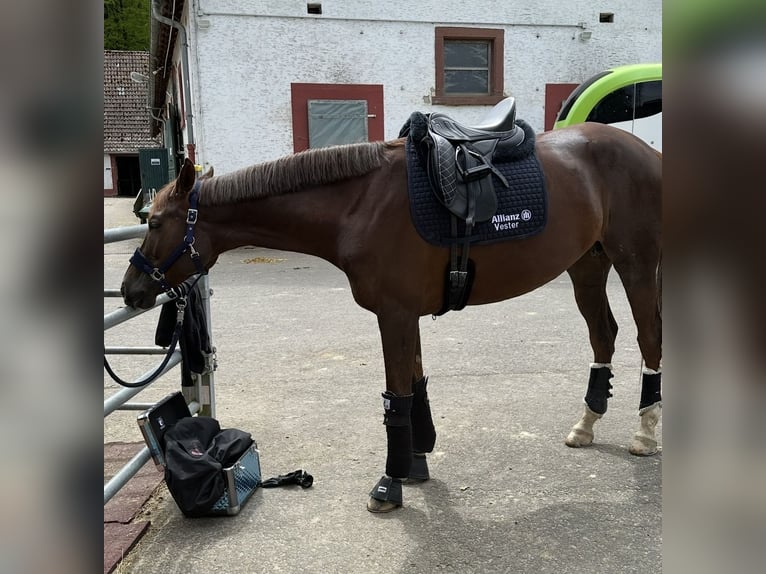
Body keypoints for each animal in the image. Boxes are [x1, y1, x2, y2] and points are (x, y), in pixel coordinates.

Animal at [121, 121, 662, 513]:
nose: (130, 290)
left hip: (636, 266)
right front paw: (418, 461)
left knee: (649, 340)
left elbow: (395, 398)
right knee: (604, 336)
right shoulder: (406, 317)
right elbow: (416, 386)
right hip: (587, 264)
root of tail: (649, 153)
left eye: (155, 222)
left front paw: (391, 482)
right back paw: (587, 424)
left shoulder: (394, 315)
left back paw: (645, 433)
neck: (359, 204)